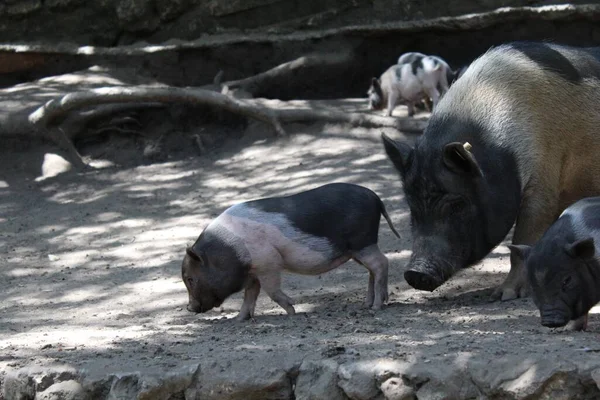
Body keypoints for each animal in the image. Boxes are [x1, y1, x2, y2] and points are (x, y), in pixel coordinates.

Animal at [180, 183, 400, 320]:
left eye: (190, 279)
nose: (190, 308)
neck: (229, 248)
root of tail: (375, 197)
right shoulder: (254, 271)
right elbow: (250, 295)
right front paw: (239, 319)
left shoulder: (269, 262)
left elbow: (271, 291)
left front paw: (293, 311)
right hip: (358, 250)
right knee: (373, 269)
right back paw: (367, 304)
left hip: (363, 242)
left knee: (382, 263)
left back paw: (377, 306)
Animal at [382, 42, 600, 302]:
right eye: (412, 205)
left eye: (457, 205)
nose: (415, 273)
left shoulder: (544, 184)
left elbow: (523, 239)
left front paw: (503, 295)